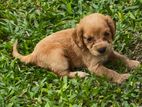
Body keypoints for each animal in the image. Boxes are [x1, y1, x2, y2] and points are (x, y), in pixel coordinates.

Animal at [12, 12, 140, 84]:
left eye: (107, 33)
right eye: (89, 39)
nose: (102, 50)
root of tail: (33, 54)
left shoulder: (110, 52)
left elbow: (122, 58)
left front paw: (134, 64)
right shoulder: (95, 67)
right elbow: (110, 72)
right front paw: (122, 77)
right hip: (59, 55)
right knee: (63, 74)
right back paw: (80, 74)